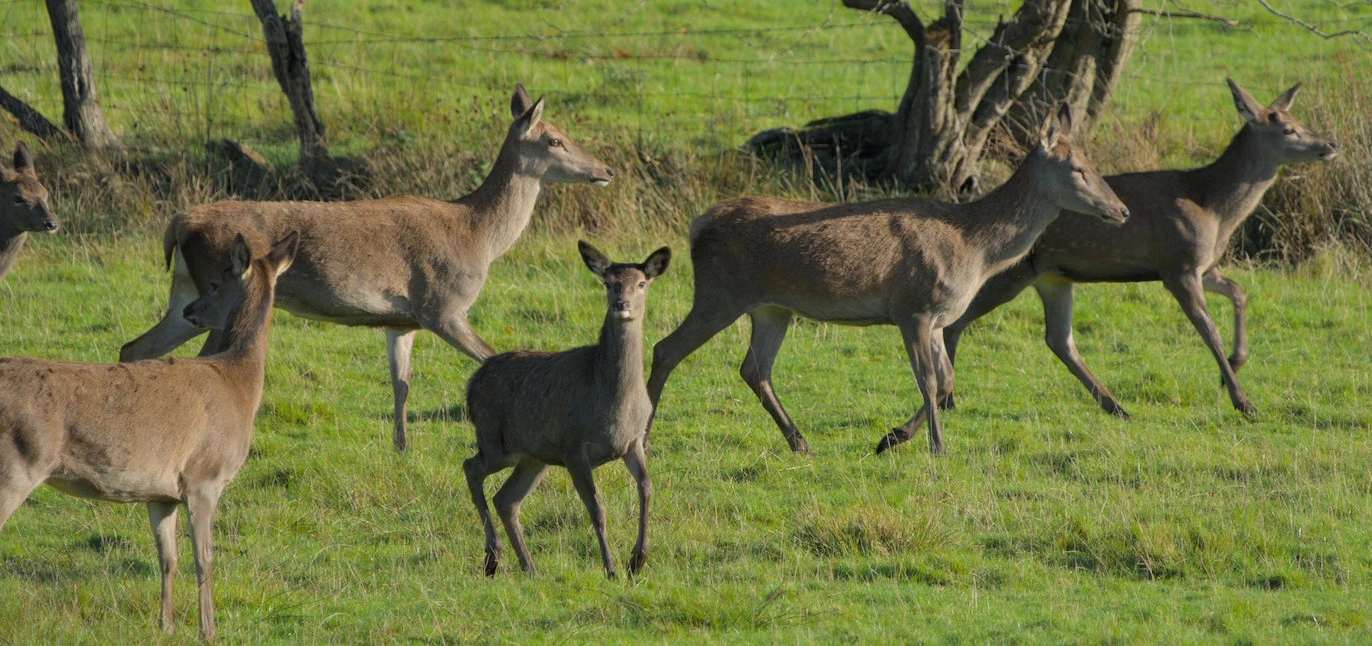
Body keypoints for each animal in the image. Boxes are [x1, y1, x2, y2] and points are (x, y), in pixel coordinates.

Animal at [0, 231, 299, 639]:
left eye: (216, 284)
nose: (190, 310)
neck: (240, 383)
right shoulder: (205, 476)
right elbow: (204, 558)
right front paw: (209, 630)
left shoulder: (162, 492)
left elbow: (168, 558)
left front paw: (166, 625)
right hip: (17, 463)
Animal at [118, 84, 614, 451]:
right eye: (554, 139)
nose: (606, 169)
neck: (479, 237)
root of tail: (177, 225)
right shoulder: (443, 306)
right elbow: (492, 357)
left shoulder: (402, 319)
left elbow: (401, 383)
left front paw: (402, 447)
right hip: (219, 295)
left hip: (186, 295)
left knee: (135, 346)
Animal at [463, 241, 670, 579]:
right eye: (608, 282)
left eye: (641, 283)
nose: (622, 304)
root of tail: (472, 384)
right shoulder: (574, 447)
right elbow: (596, 508)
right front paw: (611, 568)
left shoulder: (633, 442)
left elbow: (647, 488)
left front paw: (637, 560)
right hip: (495, 441)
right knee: (471, 468)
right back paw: (493, 557)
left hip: (534, 457)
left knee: (505, 498)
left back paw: (529, 566)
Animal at [645, 105, 1130, 456]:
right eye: (1078, 169)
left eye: (1091, 162)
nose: (1122, 210)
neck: (973, 249)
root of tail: (695, 226)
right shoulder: (912, 306)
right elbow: (929, 380)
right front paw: (937, 447)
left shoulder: (935, 317)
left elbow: (947, 379)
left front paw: (891, 438)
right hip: (720, 292)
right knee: (665, 348)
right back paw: (644, 437)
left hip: (771, 307)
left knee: (754, 368)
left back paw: (801, 442)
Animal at [921, 79, 1340, 437]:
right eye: (1288, 130)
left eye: (1297, 121)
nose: (1331, 143)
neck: (1214, 208)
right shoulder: (1177, 262)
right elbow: (1209, 329)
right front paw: (1244, 401)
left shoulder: (1199, 264)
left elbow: (1239, 291)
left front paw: (1234, 367)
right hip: (1014, 273)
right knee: (959, 320)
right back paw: (950, 400)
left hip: (1053, 277)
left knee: (1059, 339)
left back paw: (1115, 406)